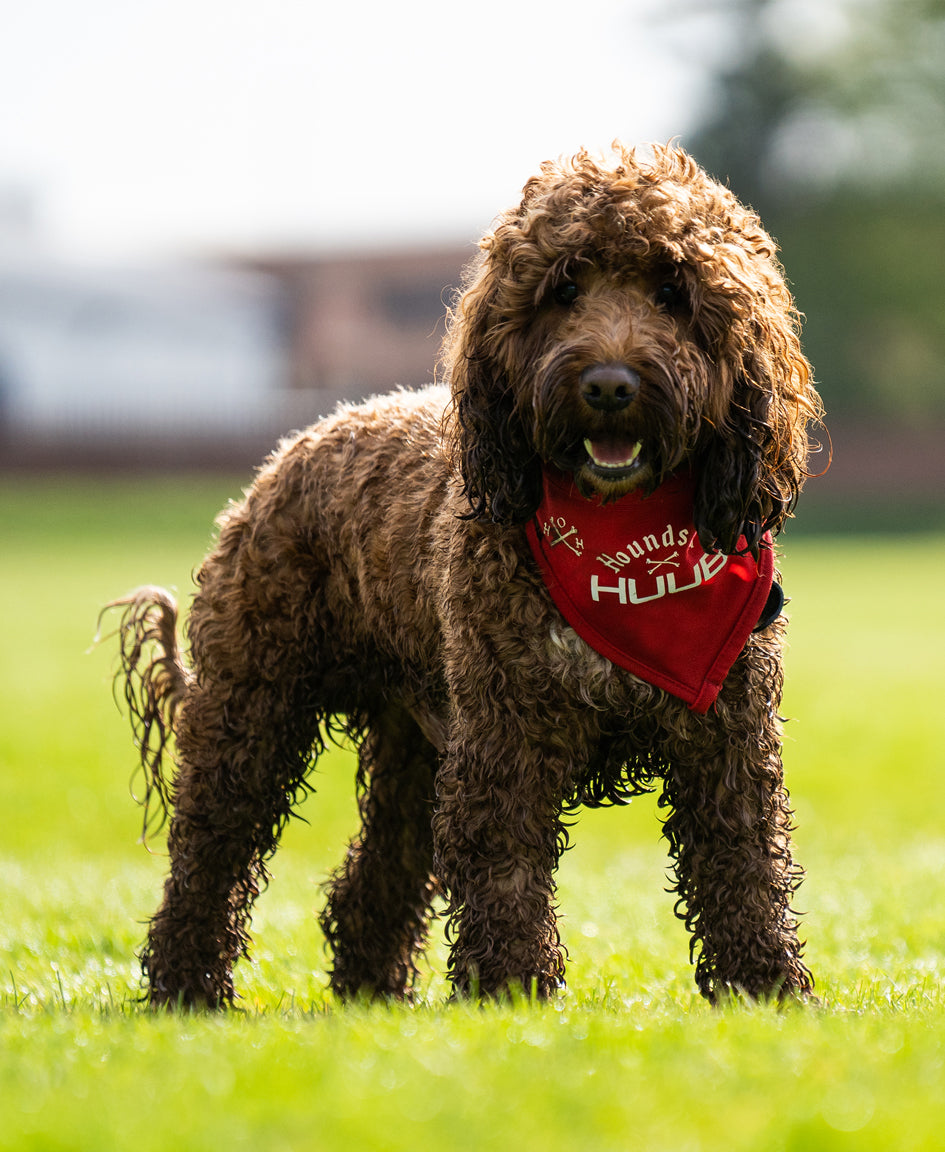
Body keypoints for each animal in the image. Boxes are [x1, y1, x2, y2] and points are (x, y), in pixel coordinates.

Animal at [107, 146, 825, 1009]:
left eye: (672, 291)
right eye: (563, 289)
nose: (608, 385)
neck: (625, 555)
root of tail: (293, 448)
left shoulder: (725, 735)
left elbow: (742, 861)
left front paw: (766, 989)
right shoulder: (503, 731)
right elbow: (505, 862)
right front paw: (511, 990)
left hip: (414, 739)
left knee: (376, 872)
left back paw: (370, 991)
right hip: (256, 705)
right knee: (211, 852)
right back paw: (186, 990)